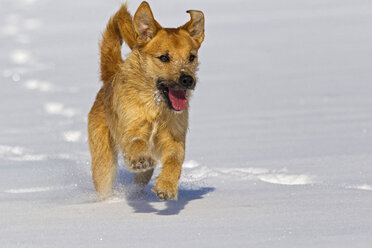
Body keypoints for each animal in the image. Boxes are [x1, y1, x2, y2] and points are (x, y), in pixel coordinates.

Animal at [88, 0, 205, 201]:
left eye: (191, 57)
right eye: (164, 57)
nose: (187, 80)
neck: (156, 107)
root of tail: (109, 79)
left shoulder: (174, 136)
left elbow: (175, 160)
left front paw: (166, 186)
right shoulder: (132, 127)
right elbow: (136, 141)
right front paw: (140, 158)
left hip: (143, 175)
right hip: (103, 161)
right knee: (103, 180)